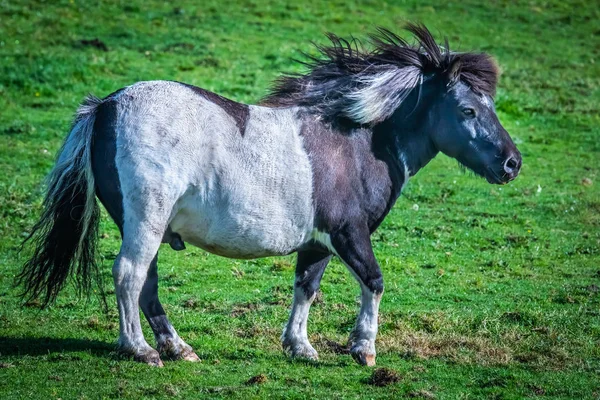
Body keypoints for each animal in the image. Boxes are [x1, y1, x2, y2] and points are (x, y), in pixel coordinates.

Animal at [18, 21, 520, 366]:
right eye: (468, 109)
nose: (512, 163)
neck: (359, 142)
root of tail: (106, 106)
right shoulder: (349, 233)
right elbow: (374, 282)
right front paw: (363, 348)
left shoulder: (318, 242)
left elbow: (306, 288)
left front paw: (300, 347)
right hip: (146, 220)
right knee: (129, 275)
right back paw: (141, 350)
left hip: (148, 227)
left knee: (147, 285)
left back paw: (179, 347)